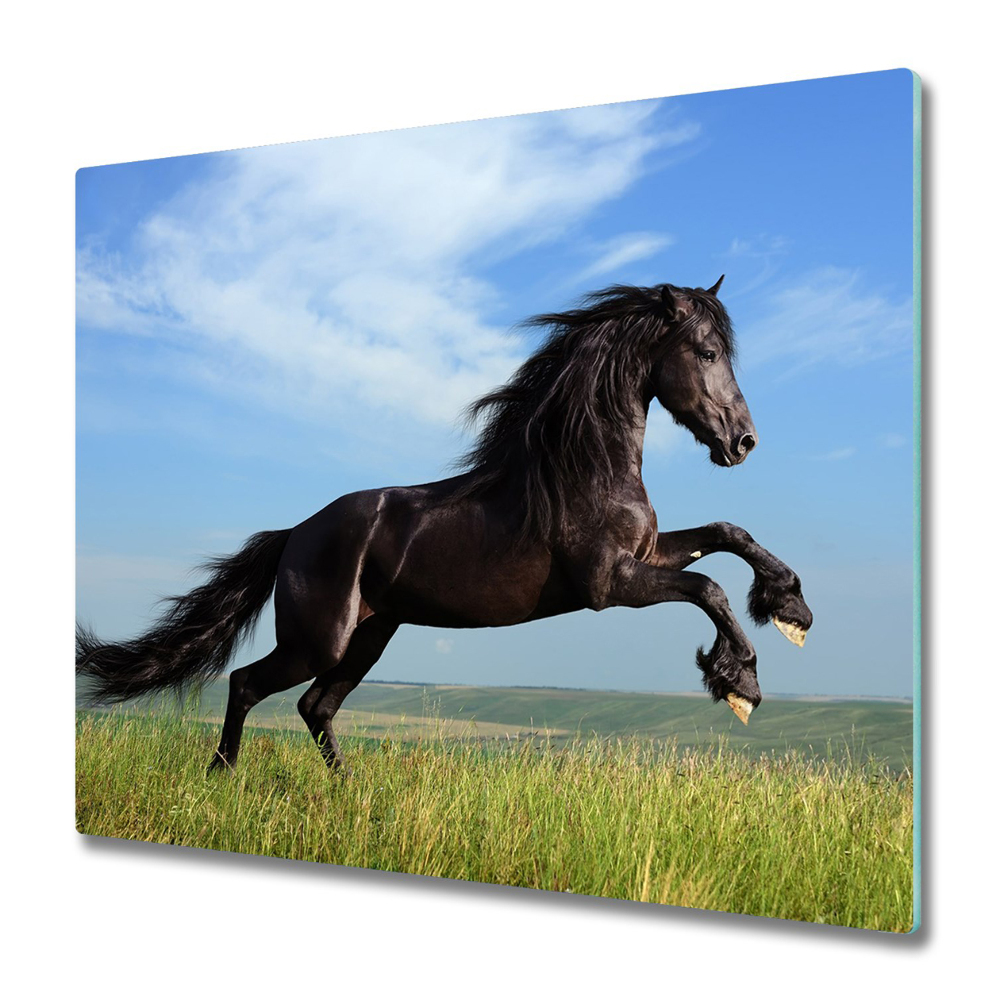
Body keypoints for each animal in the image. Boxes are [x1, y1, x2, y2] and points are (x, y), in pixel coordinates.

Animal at [77, 277, 813, 774]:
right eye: (707, 351)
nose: (744, 442)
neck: (582, 467)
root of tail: (295, 535)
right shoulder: (610, 585)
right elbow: (709, 588)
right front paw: (740, 683)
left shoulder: (648, 554)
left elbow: (728, 534)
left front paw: (791, 609)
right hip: (319, 640)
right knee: (247, 684)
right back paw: (222, 775)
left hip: (369, 637)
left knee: (316, 708)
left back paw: (352, 793)